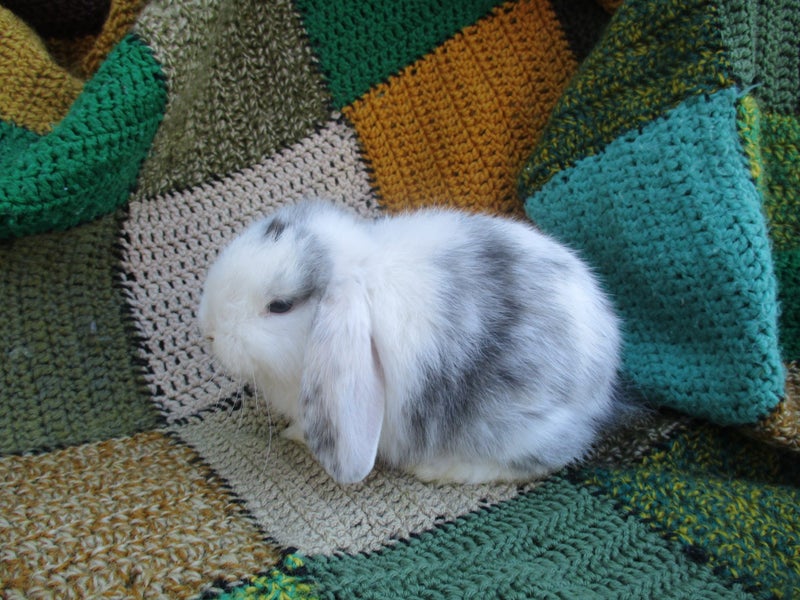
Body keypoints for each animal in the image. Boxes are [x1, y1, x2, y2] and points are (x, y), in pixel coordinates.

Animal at [198, 200, 623, 485]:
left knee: (545, 461)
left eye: (280, 306)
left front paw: (294, 436)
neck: (363, 272)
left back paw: (438, 469)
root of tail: (602, 382)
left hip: (517, 429)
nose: (209, 330)